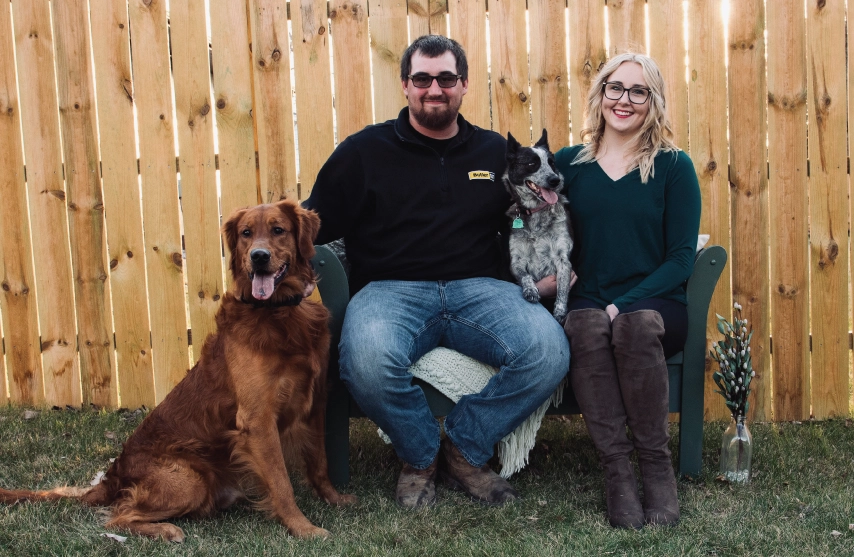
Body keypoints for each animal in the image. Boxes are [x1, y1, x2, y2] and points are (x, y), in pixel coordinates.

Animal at [504, 129, 572, 324]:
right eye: (531, 163)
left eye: (552, 163)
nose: (554, 180)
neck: (535, 212)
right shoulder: (516, 260)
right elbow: (525, 276)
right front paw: (531, 290)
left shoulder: (563, 259)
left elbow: (562, 289)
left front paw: (559, 312)